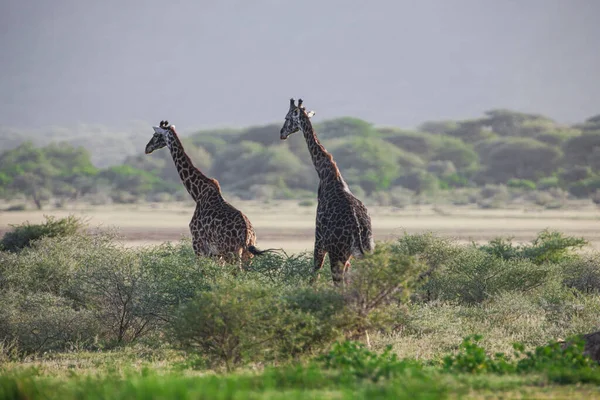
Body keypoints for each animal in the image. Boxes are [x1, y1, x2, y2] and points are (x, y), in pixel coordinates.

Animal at [145, 119, 270, 268]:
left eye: (155, 135)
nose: (147, 148)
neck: (198, 193)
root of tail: (247, 235)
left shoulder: (198, 244)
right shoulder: (216, 254)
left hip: (231, 253)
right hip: (246, 255)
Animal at [278, 99, 372, 284]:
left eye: (287, 117)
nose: (282, 133)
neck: (326, 175)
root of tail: (358, 229)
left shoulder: (319, 238)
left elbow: (315, 272)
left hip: (337, 253)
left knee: (338, 282)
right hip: (366, 250)